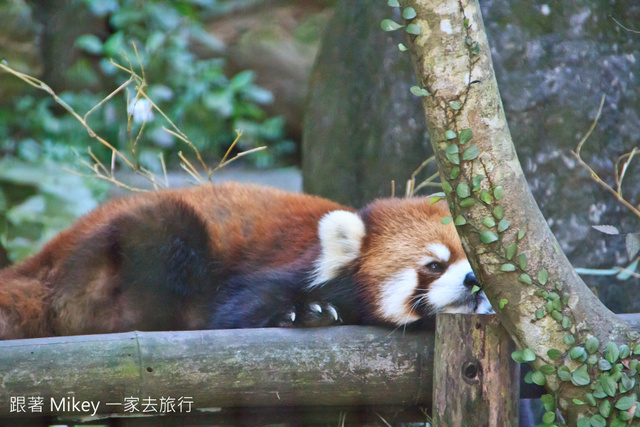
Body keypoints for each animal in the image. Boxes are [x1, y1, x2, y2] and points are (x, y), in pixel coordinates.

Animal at [0, 182, 492, 340]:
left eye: (478, 259)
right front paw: (306, 314)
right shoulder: (281, 267)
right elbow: (237, 310)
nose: (474, 280)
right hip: (137, 241)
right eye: (434, 265)